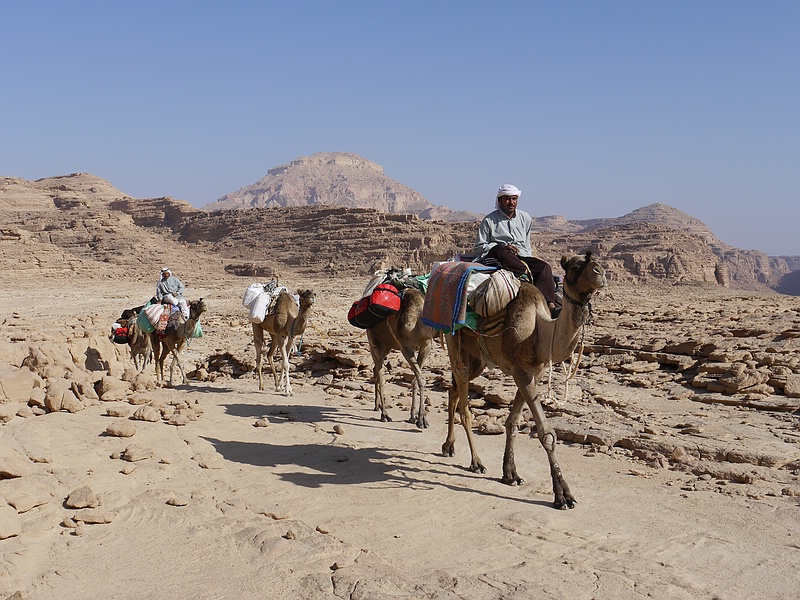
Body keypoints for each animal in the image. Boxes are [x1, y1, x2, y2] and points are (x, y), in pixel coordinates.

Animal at [368, 286, 438, 426]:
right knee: (380, 374)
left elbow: (416, 379)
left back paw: (377, 406)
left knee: (375, 369)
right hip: (374, 343)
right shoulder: (405, 347)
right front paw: (422, 419)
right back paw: (385, 415)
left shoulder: (426, 346)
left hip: (386, 346)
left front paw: (413, 416)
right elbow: (421, 379)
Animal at [440, 253, 604, 510]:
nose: (600, 272)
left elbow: (513, 422)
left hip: (476, 358)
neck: (539, 332)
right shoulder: (521, 372)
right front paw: (563, 495)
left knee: (453, 389)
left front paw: (510, 474)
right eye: (574, 266)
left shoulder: (533, 372)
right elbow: (547, 433)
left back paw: (449, 446)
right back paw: (476, 462)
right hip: (454, 341)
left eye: (594, 261)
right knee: (464, 403)